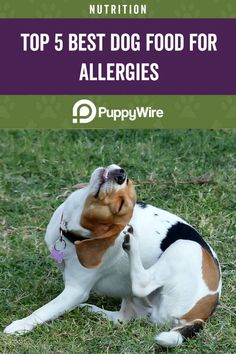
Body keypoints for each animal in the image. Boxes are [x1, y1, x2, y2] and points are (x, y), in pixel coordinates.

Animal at [3, 165, 221, 348]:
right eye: (128, 181)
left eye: (120, 206)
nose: (121, 175)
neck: (73, 235)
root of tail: (202, 315)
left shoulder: (75, 291)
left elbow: (43, 311)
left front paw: (20, 325)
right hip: (134, 300)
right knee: (123, 318)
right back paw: (92, 310)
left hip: (186, 247)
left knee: (142, 283)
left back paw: (131, 243)